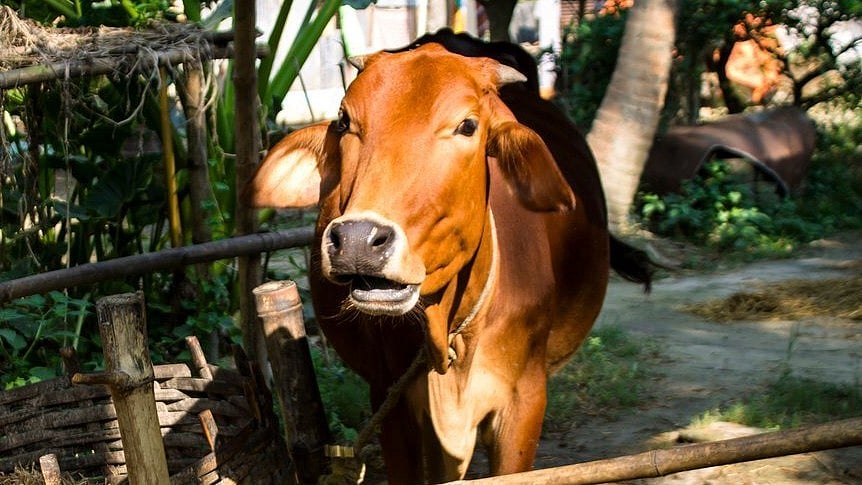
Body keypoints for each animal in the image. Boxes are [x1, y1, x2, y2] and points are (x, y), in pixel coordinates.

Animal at [245, 39, 651, 483]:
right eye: (343, 120)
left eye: (468, 126)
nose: (356, 241)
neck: (452, 332)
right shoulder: (391, 401)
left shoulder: (523, 403)